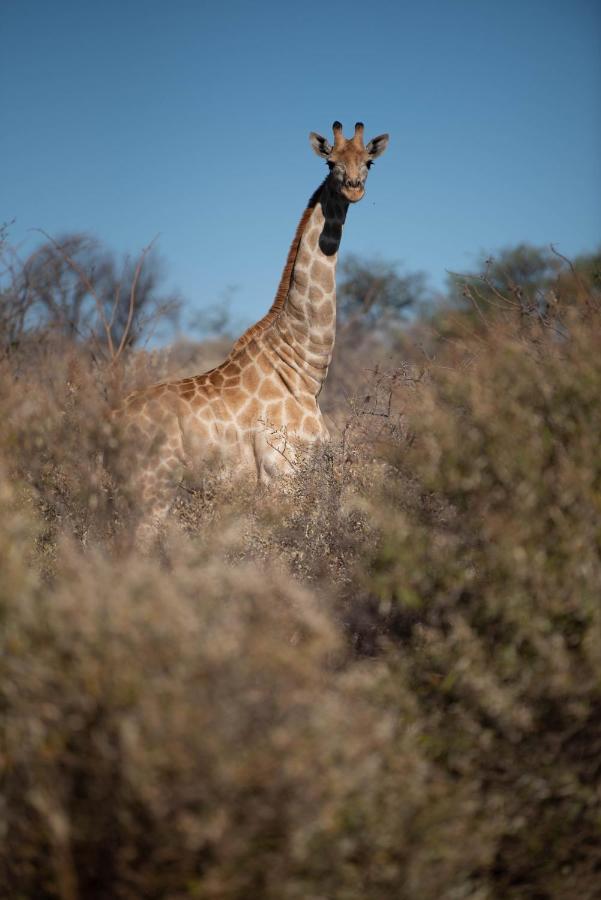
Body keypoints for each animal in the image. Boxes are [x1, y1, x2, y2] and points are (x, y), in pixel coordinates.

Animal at [116, 122, 390, 536]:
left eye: (369, 162)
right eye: (330, 163)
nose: (354, 187)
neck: (302, 370)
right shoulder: (281, 476)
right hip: (151, 490)